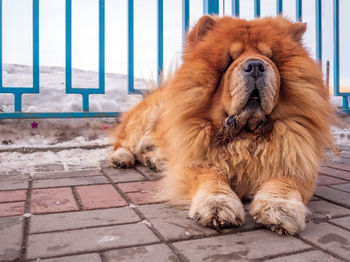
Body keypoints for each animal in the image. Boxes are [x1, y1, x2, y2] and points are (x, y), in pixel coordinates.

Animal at [110, 15, 334, 234]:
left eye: (270, 58)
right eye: (230, 60)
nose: (255, 66)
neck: (245, 136)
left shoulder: (295, 158)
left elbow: (286, 182)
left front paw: (280, 209)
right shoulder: (197, 160)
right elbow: (211, 177)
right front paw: (218, 205)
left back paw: (154, 160)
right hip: (145, 119)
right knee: (124, 143)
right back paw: (122, 158)